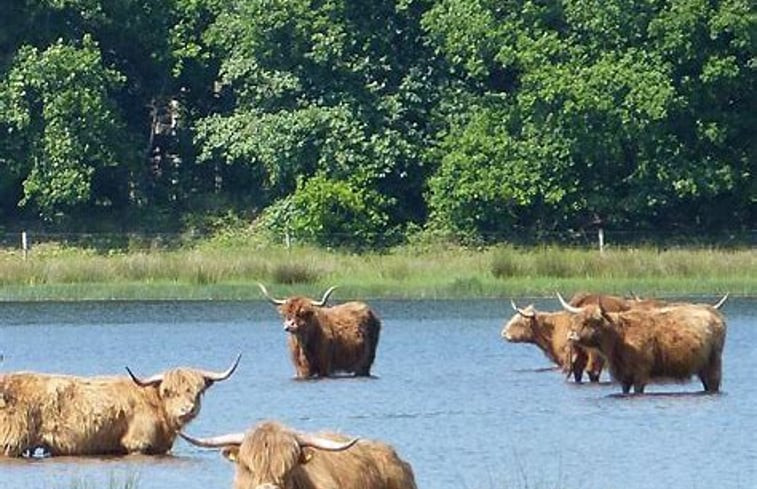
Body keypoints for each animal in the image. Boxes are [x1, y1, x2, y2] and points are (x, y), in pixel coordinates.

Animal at [560, 294, 728, 392]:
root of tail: (715, 314)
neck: (619, 336)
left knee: (713, 383)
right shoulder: (624, 375)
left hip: (714, 363)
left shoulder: (640, 373)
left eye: (589, 322)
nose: (571, 336)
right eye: (576, 320)